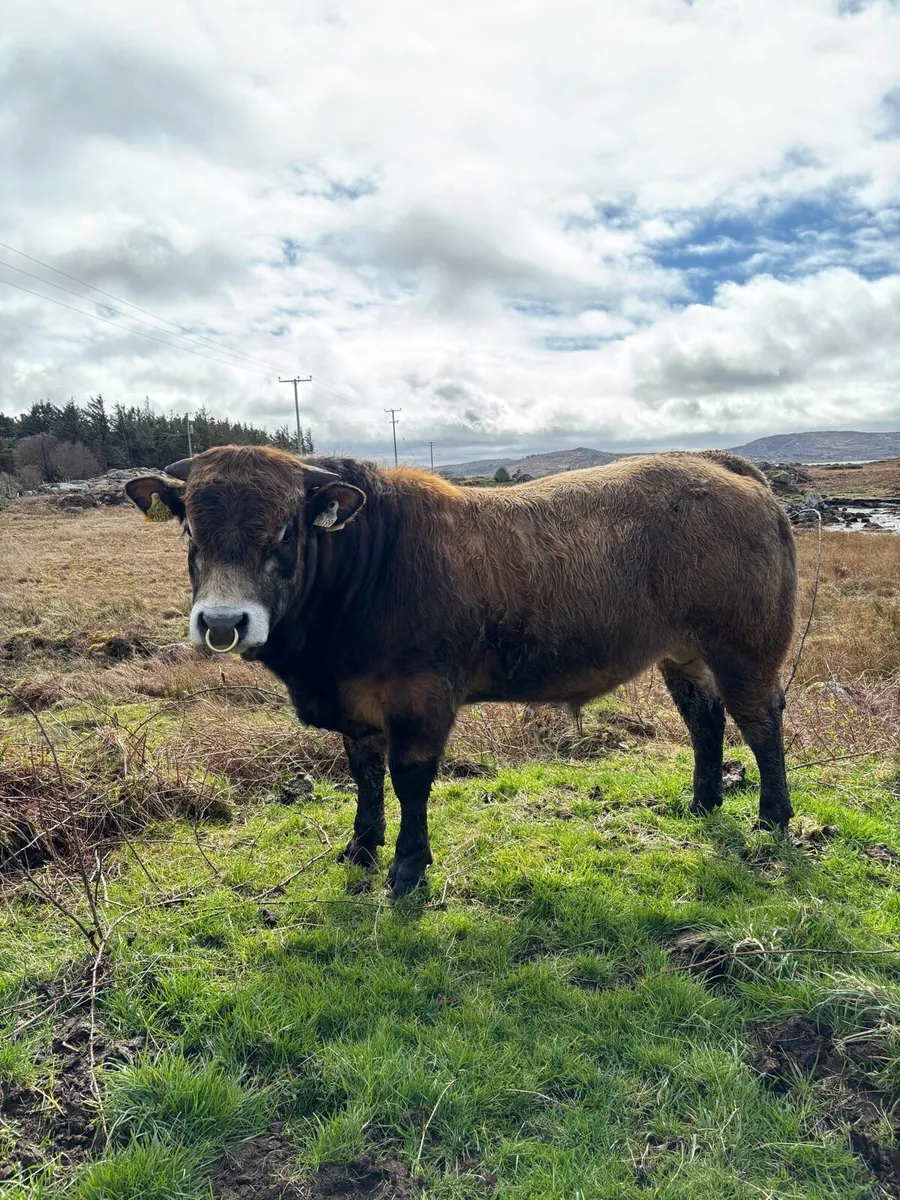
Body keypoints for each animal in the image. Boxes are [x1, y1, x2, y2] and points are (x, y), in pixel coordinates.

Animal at [125, 446, 797, 896]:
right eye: (189, 526)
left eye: (286, 530)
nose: (223, 621)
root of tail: (722, 465)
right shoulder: (357, 706)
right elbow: (364, 774)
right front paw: (361, 846)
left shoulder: (420, 699)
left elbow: (409, 780)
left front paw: (407, 866)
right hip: (683, 654)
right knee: (705, 721)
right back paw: (703, 803)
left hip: (745, 648)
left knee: (760, 723)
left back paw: (772, 816)